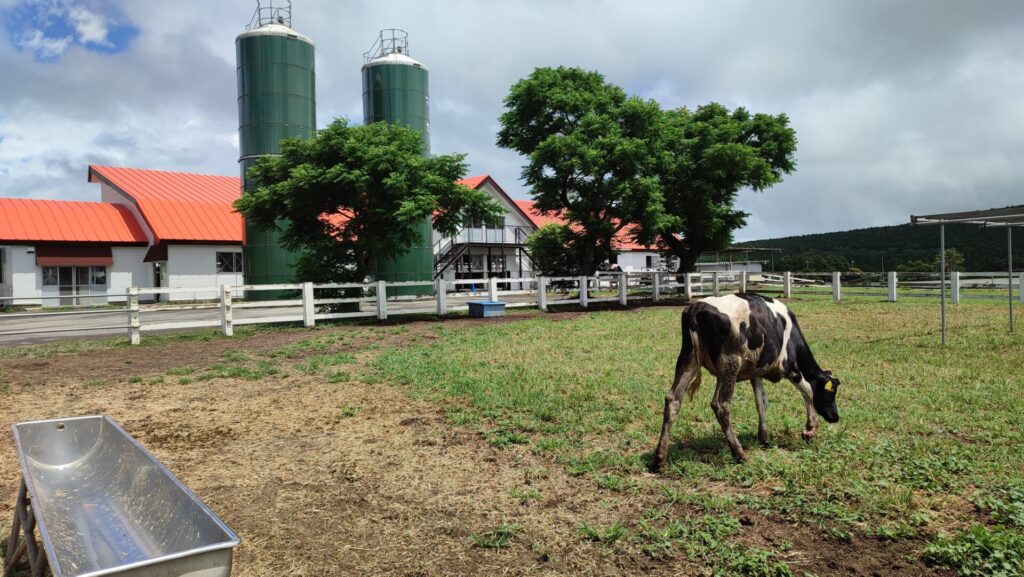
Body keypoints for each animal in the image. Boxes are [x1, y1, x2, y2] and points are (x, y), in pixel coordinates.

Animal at [655, 293, 839, 469]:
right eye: (831, 392)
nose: (836, 417)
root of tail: (696, 307)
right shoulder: (790, 367)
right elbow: (808, 391)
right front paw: (810, 430)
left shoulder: (756, 374)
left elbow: (761, 402)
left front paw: (764, 437)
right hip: (730, 364)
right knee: (720, 404)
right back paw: (739, 453)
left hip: (689, 360)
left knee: (673, 399)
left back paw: (660, 458)